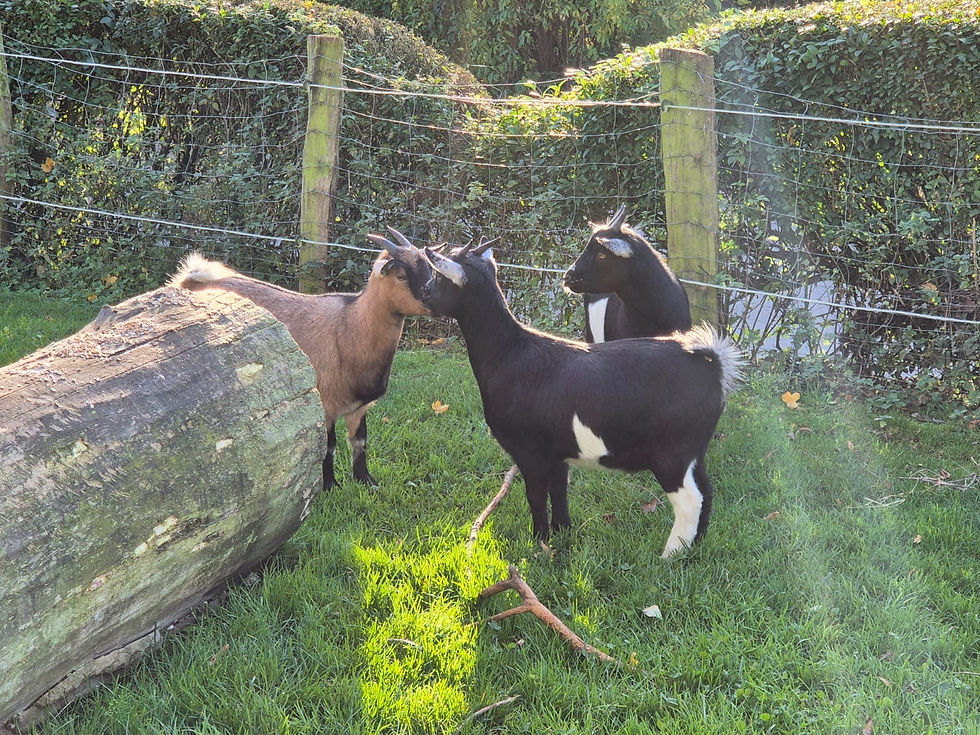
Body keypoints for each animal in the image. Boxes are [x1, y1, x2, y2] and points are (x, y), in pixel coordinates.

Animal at [169, 233, 432, 489]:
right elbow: (328, 447)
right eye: (400, 275)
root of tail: (191, 281)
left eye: (429, 268)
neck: (347, 325)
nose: (433, 298)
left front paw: (367, 482)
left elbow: (360, 441)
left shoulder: (359, 408)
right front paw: (330, 486)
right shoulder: (325, 404)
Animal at [410, 236, 741, 558]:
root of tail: (712, 361)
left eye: (439, 276)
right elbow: (559, 490)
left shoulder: (528, 450)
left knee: (689, 500)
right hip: (694, 452)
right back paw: (696, 548)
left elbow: (535, 494)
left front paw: (539, 542)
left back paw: (670, 556)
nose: (424, 292)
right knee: (707, 492)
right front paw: (562, 533)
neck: (510, 354)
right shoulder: (558, 451)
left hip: (672, 454)